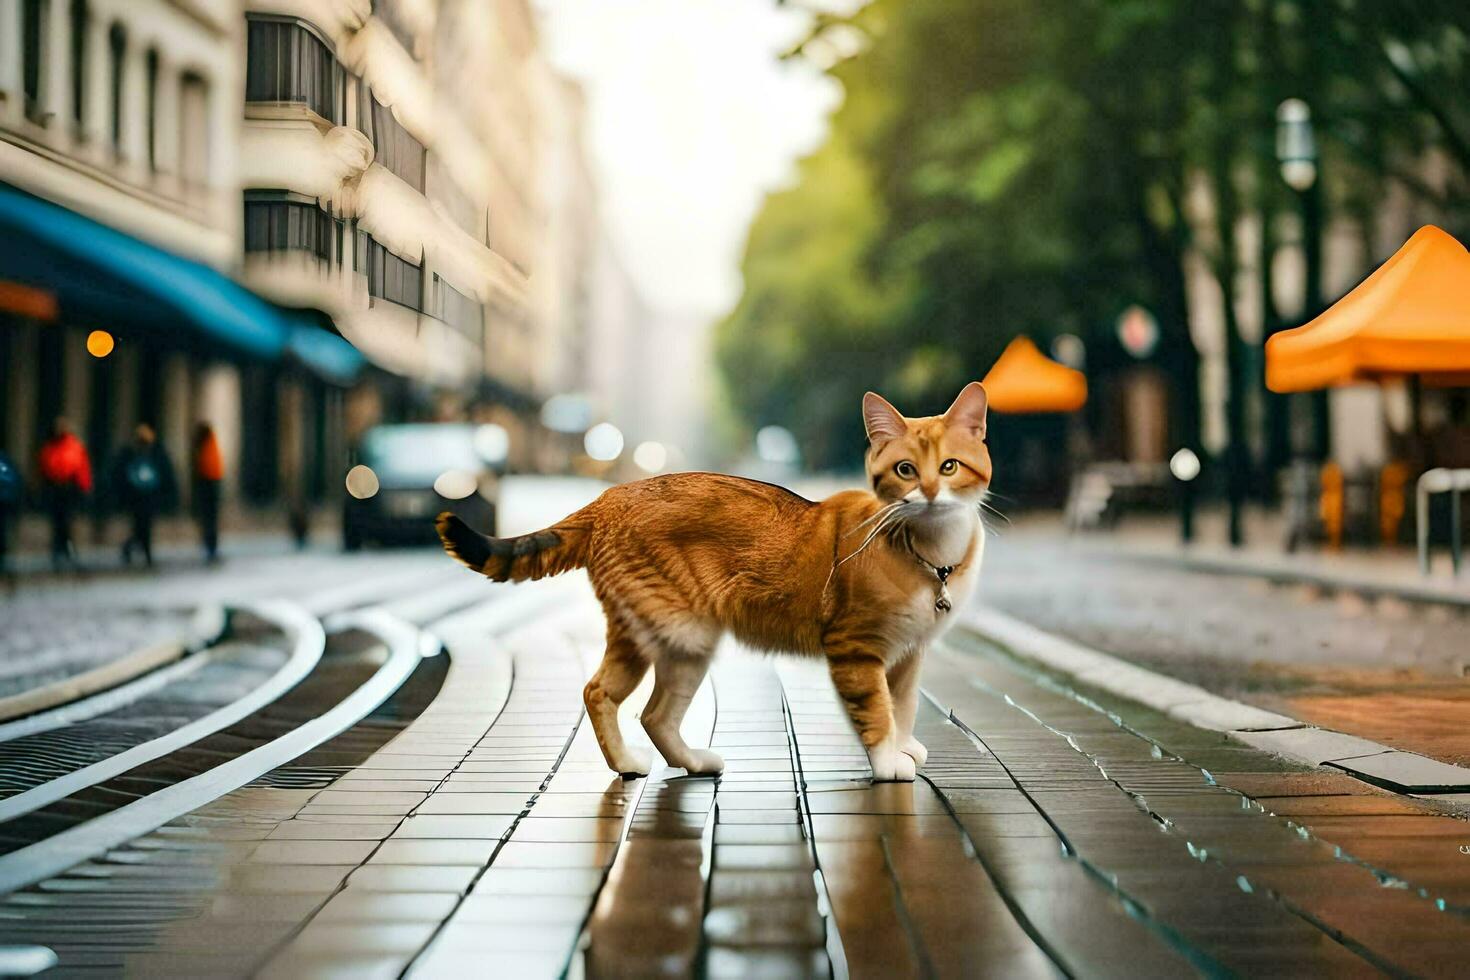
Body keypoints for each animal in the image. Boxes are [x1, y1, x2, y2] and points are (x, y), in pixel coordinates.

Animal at [435, 382, 987, 781]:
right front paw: (890, 762)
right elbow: (877, 711)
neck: (931, 554)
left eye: (949, 467)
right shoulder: (856, 648)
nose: (930, 493)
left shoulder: (909, 652)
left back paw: (689, 762)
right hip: (679, 630)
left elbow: (905, 704)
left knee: (643, 710)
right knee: (609, 697)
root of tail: (609, 495)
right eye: (905, 470)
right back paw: (632, 764)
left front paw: (906, 744)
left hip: (668, 639)